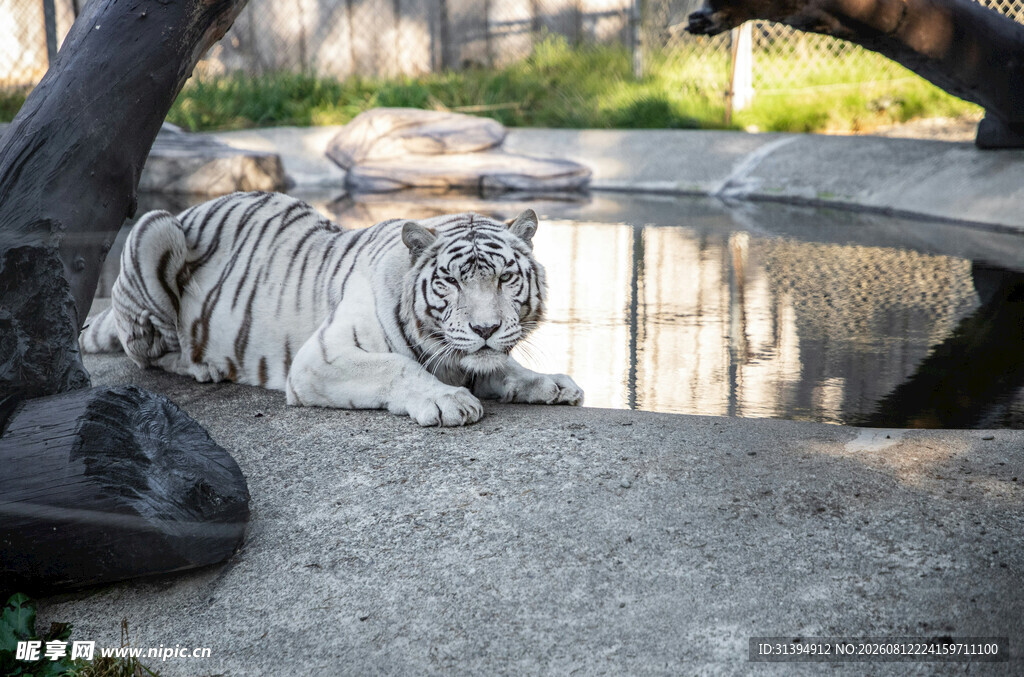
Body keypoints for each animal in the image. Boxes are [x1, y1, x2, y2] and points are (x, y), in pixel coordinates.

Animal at [80, 191, 583, 426]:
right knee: (148, 350)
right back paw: (203, 366)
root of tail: (188, 210)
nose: (485, 328)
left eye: (504, 278)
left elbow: (503, 365)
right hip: (153, 227)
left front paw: (550, 383)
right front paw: (449, 400)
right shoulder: (321, 358)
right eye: (452, 281)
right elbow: (397, 367)